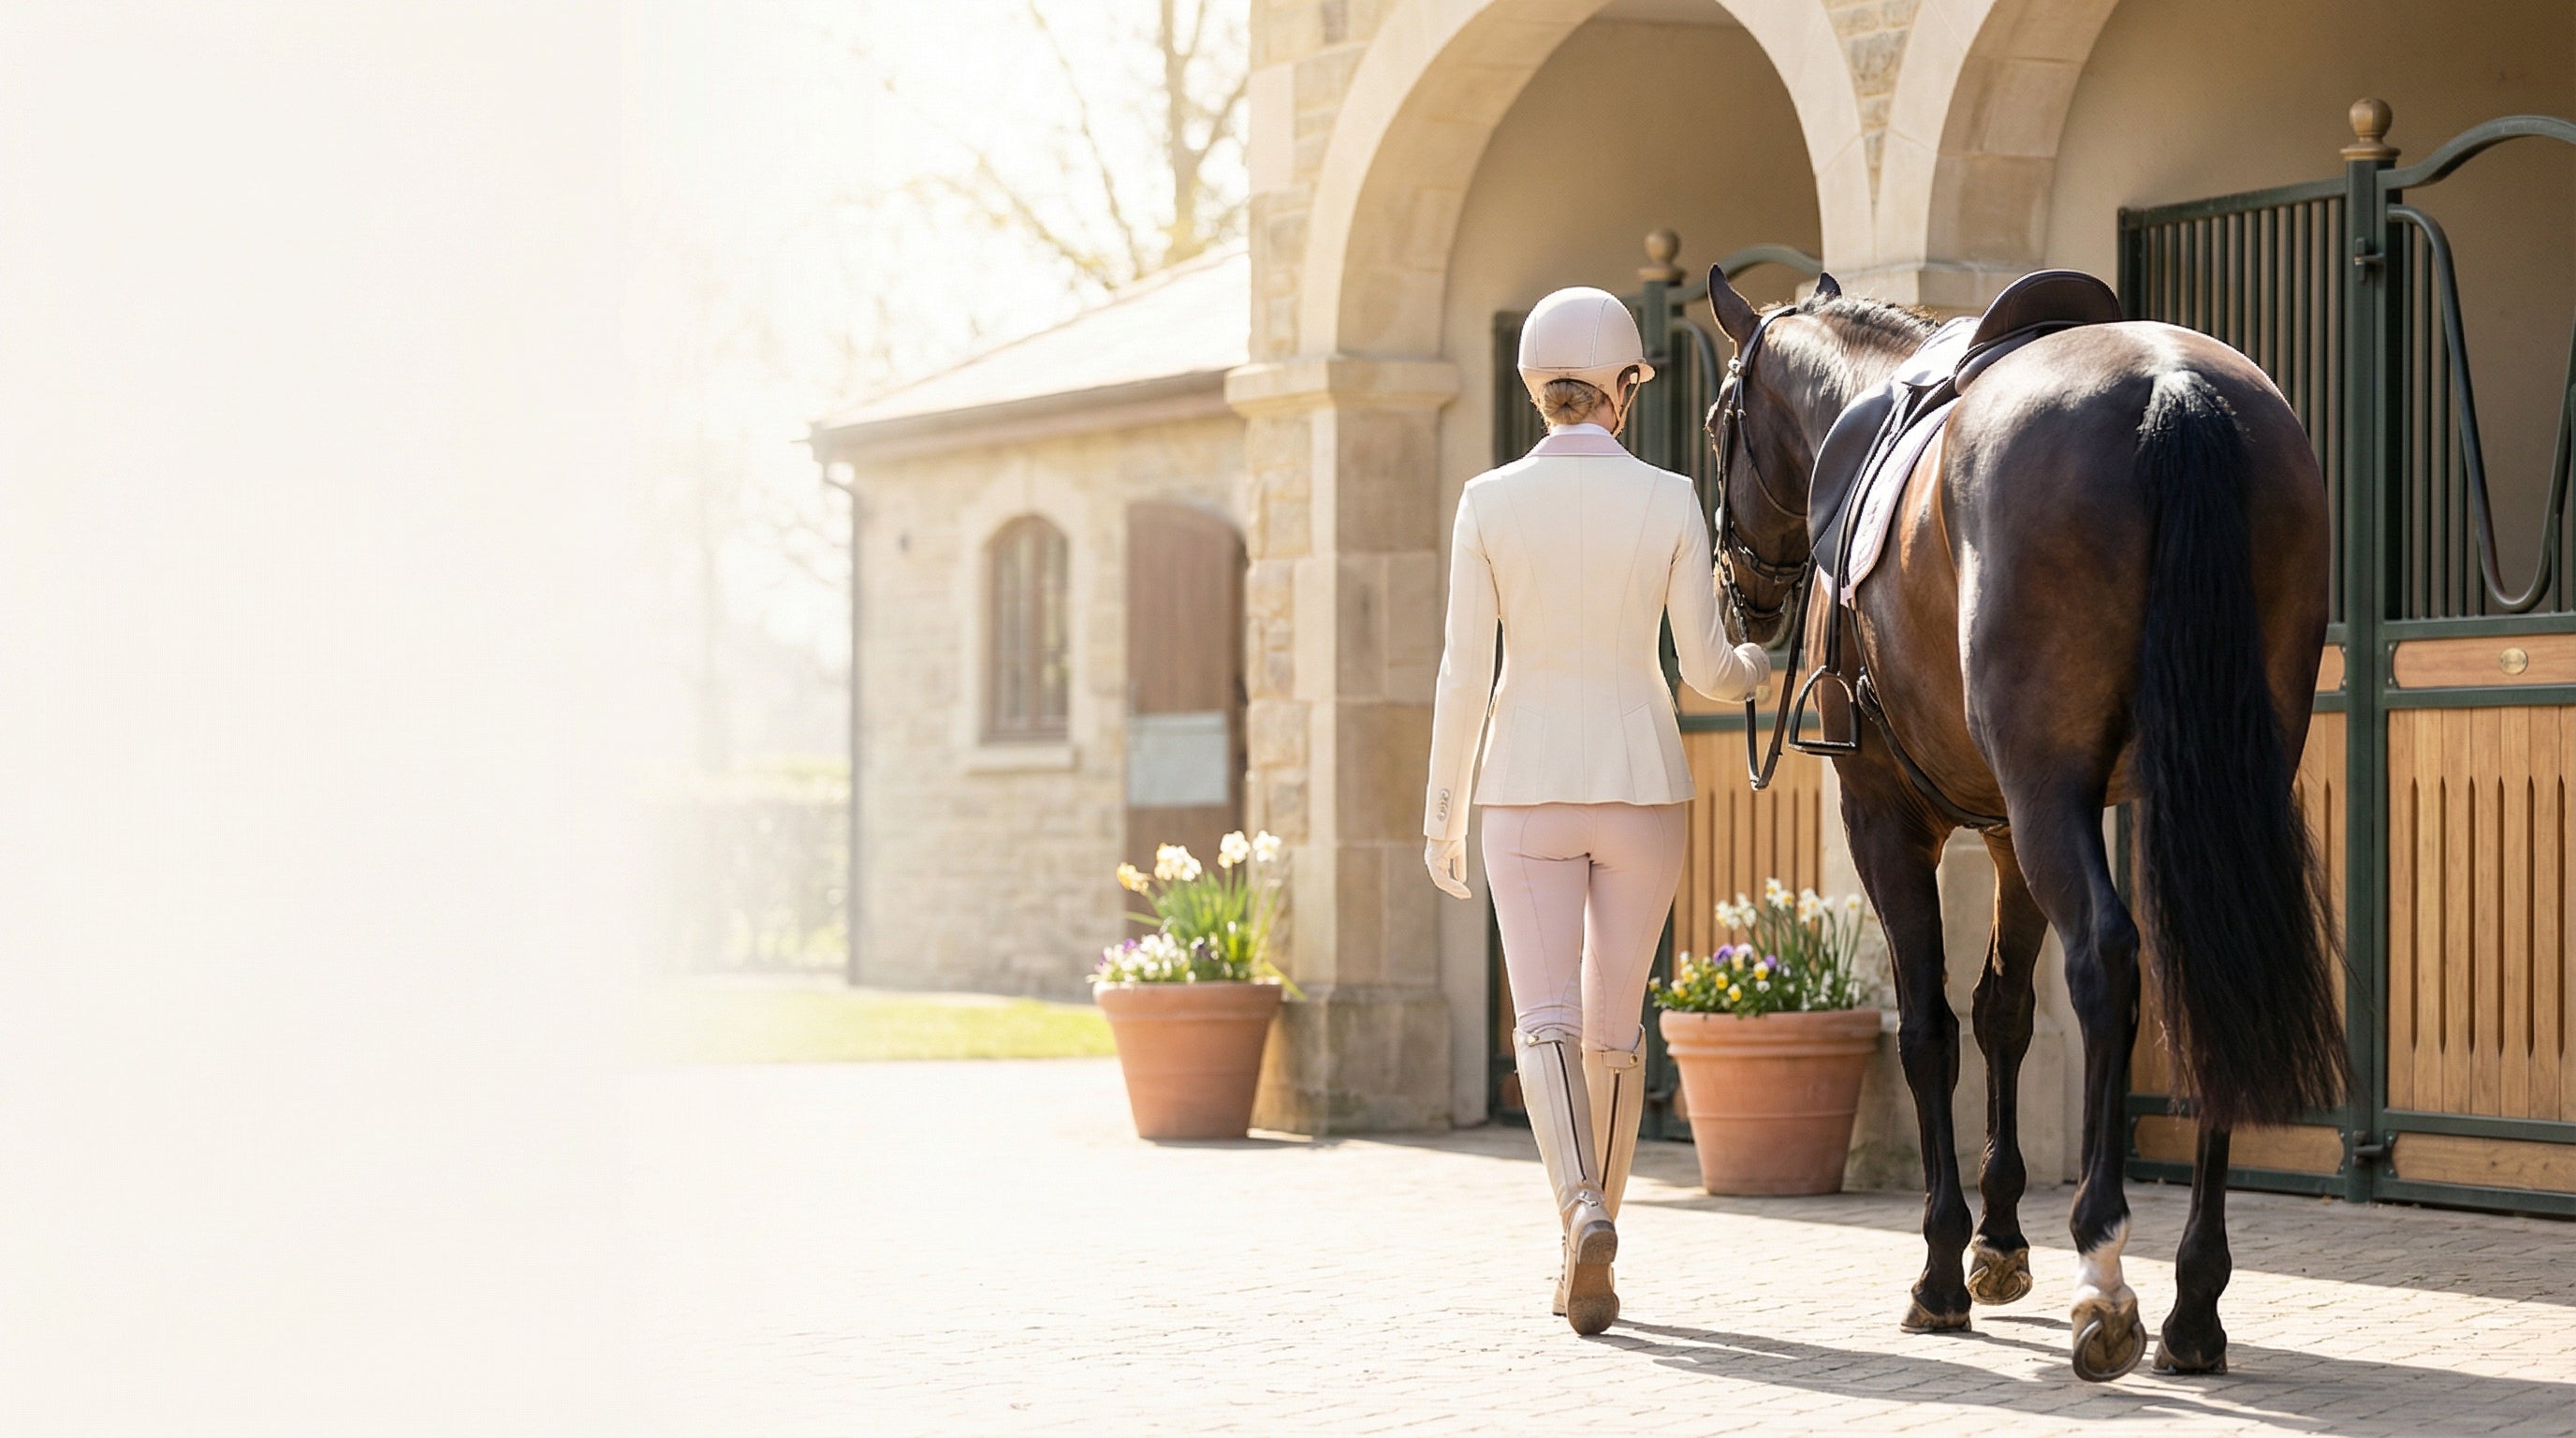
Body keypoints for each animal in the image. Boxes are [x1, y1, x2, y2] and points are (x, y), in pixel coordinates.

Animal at [1700, 268, 2347, 1382]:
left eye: (1713, 425)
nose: (1739, 599)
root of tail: (2173, 390)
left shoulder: (1889, 819)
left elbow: (1928, 1028)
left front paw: (1942, 1268)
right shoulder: (2007, 828)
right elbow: (2003, 1009)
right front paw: (2000, 1244)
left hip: (2049, 794)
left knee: (2106, 960)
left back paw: (2106, 1273)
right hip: (2202, 789)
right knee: (2204, 975)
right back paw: (2194, 1305)